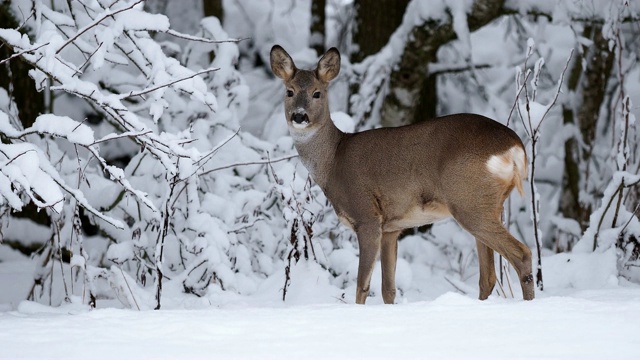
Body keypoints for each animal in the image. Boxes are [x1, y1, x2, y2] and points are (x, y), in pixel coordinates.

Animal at [270, 45, 536, 304]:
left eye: (317, 93)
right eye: (289, 91)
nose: (299, 116)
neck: (334, 159)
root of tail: (515, 148)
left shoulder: (367, 217)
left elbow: (362, 286)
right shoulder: (391, 228)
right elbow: (388, 290)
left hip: (468, 201)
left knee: (522, 254)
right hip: (486, 204)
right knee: (488, 276)